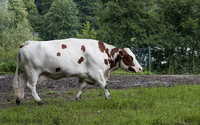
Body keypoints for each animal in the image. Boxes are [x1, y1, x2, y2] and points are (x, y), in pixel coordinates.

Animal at [12, 38, 142, 104]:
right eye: (130, 57)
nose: (140, 68)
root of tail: (28, 42)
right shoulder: (96, 72)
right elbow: (104, 85)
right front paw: (108, 96)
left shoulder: (84, 74)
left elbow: (81, 86)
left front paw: (78, 98)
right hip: (33, 72)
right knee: (31, 86)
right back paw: (39, 101)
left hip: (27, 72)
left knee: (21, 82)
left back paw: (19, 99)